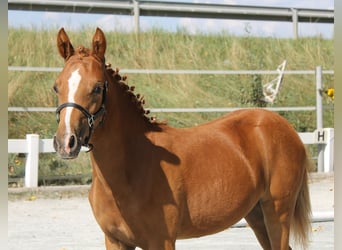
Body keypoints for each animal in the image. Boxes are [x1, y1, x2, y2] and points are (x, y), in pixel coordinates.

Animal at [52, 27, 312, 250]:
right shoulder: (115, 240)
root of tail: (286, 128)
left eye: (97, 87)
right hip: (256, 214)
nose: (66, 143)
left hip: (277, 212)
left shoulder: (162, 241)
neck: (130, 169)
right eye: (57, 86)